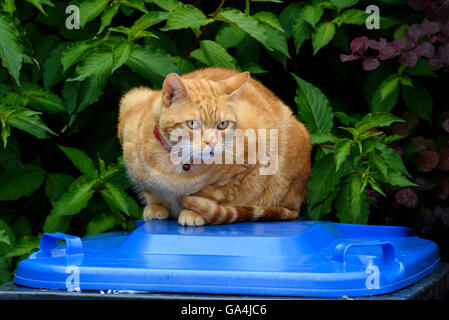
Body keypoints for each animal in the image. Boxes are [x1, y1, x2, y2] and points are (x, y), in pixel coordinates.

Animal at [117, 68, 310, 226]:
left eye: (222, 125)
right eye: (192, 123)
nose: (212, 142)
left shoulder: (246, 164)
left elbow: (211, 194)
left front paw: (193, 212)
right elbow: (150, 189)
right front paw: (157, 207)